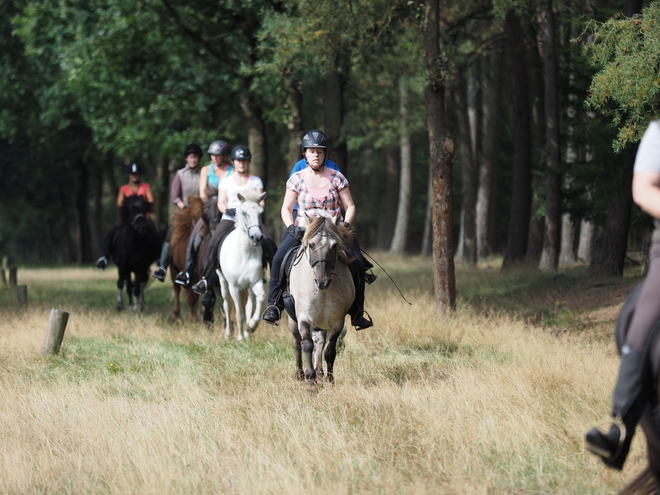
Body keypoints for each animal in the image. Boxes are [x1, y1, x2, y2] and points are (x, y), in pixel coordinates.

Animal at [218, 191, 266, 340]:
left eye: (261, 213)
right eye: (244, 212)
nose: (256, 237)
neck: (245, 254)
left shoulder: (255, 282)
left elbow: (261, 297)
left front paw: (251, 326)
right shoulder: (234, 287)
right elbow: (239, 313)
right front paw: (239, 338)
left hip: (248, 287)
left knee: (249, 305)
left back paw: (246, 332)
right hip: (223, 281)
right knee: (227, 304)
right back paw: (228, 334)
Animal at [284, 215, 354, 386]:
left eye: (334, 246)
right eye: (311, 244)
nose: (322, 281)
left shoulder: (337, 321)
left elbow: (329, 350)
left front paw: (329, 379)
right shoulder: (304, 317)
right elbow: (306, 345)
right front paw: (310, 380)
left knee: (320, 342)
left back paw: (320, 372)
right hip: (293, 320)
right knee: (297, 342)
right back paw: (300, 374)